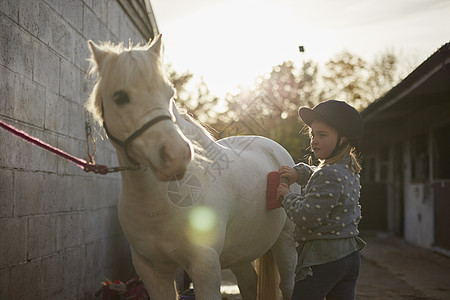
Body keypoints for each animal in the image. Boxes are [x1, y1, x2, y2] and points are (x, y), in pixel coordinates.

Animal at [86, 35, 300, 300]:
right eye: (120, 97)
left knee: (288, 284)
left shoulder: (204, 265)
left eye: (169, 93)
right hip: (240, 253)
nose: (176, 155)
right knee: (249, 282)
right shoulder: (152, 271)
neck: (160, 204)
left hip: (285, 240)